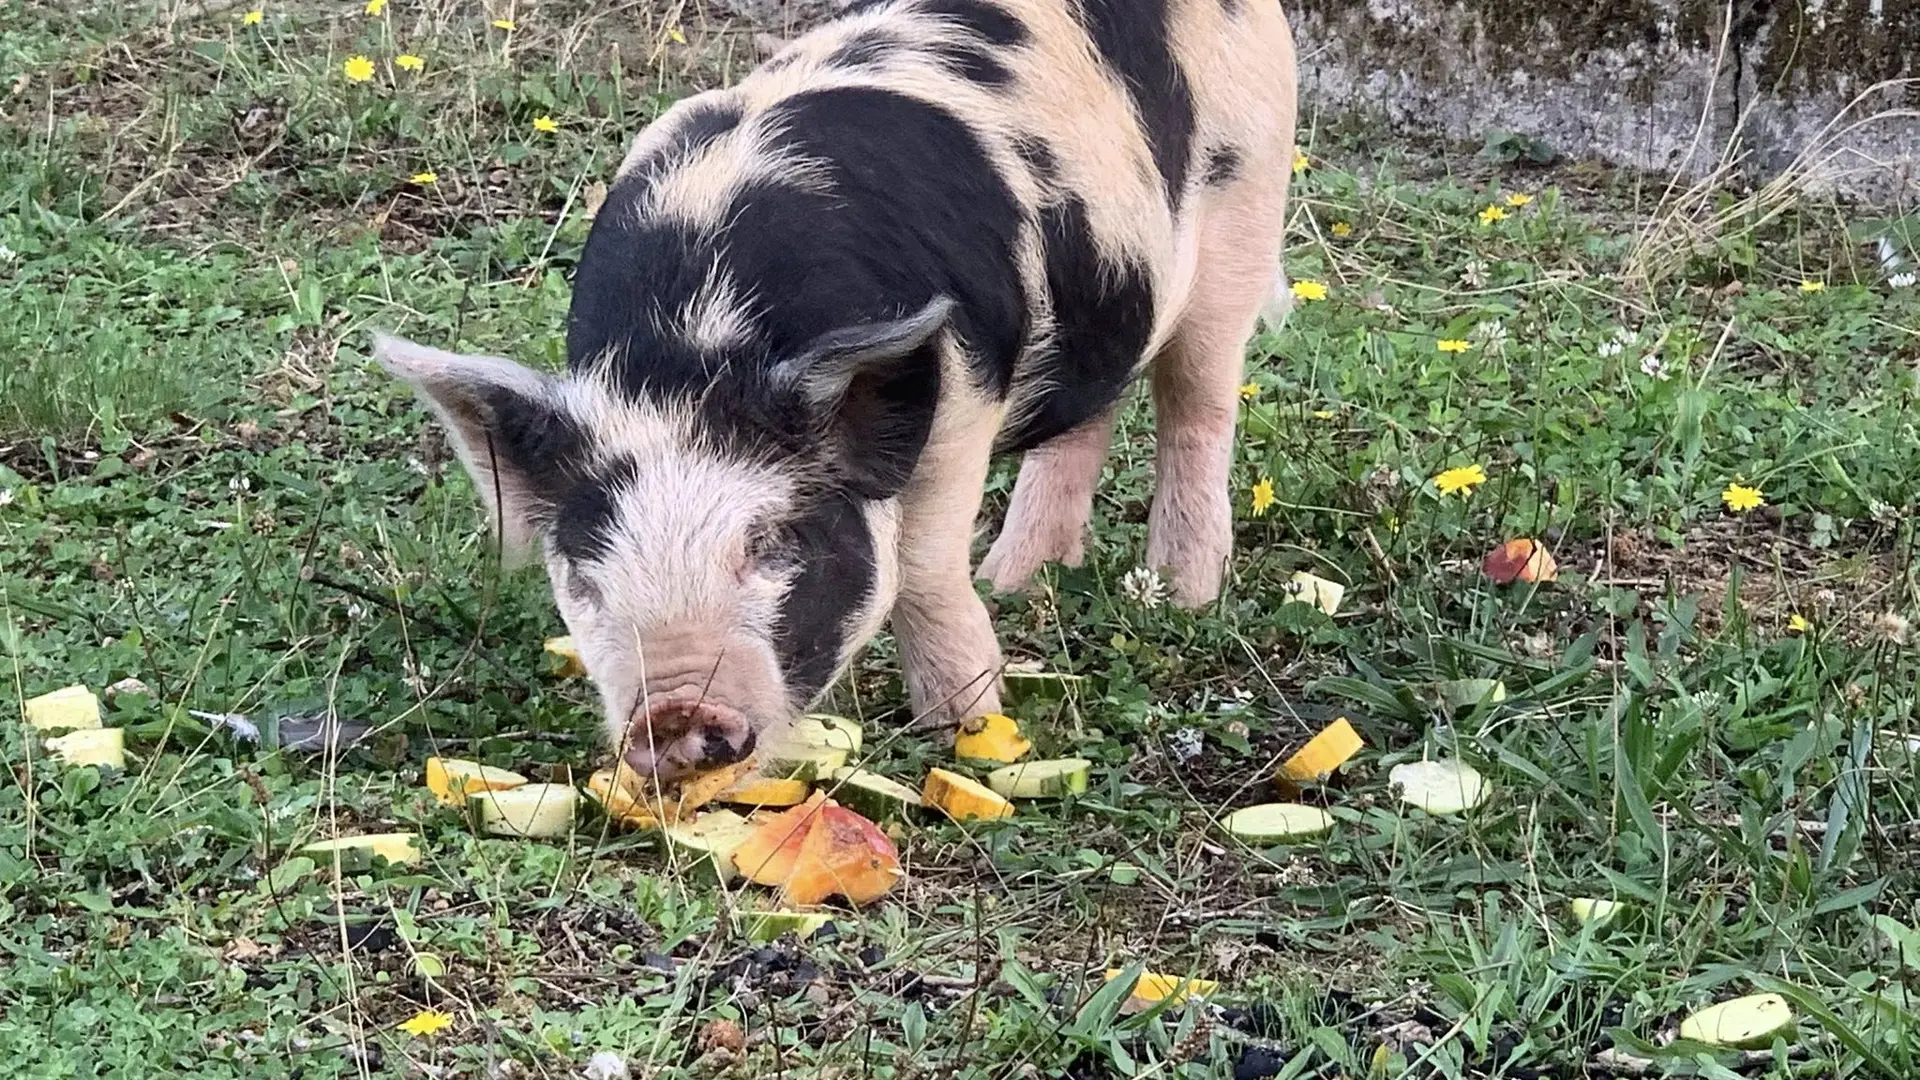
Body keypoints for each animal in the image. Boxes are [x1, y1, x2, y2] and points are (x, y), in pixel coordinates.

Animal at [371, 0, 1298, 784]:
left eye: (771, 544)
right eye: (586, 576)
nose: (672, 714)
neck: (697, 338)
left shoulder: (960, 400)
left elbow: (921, 569)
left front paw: (970, 728)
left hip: (1247, 198)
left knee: (1197, 403)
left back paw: (1181, 595)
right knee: (1088, 414)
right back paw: (1015, 579)